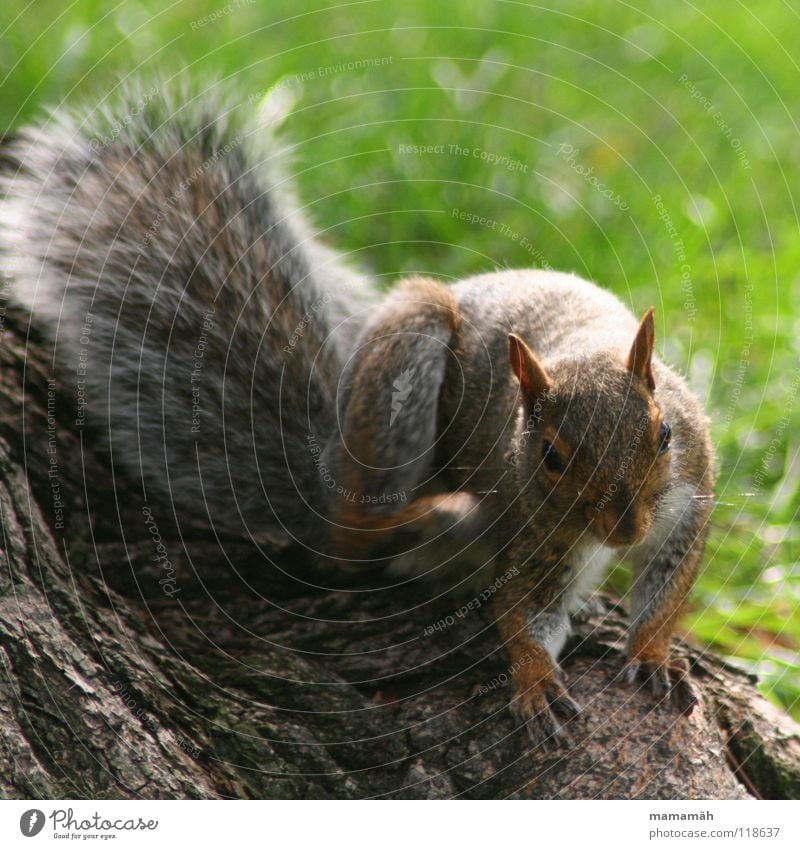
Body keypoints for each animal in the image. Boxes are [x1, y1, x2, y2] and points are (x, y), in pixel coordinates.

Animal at [0, 78, 712, 744]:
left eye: (664, 433)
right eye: (550, 456)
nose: (626, 532)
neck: (585, 345)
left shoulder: (690, 494)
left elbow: (671, 581)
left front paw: (653, 652)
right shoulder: (530, 520)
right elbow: (523, 607)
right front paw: (536, 681)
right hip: (403, 373)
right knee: (356, 543)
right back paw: (430, 516)